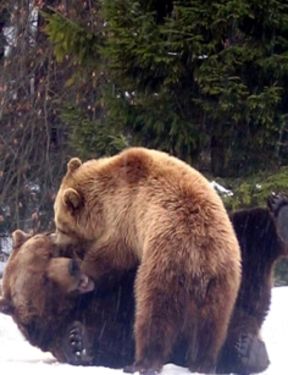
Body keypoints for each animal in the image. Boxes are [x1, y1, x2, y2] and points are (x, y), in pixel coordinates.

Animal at [0, 192, 286, 374]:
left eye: (50, 252)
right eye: (44, 279)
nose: (73, 266)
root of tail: (253, 309)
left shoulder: (119, 272)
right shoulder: (77, 325)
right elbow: (109, 342)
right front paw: (76, 342)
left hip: (231, 243)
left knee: (254, 229)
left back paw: (280, 211)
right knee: (229, 343)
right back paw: (247, 349)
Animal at [53, 147, 241, 375]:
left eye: (60, 226)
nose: (56, 242)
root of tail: (202, 255)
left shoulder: (125, 218)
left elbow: (110, 258)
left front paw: (85, 269)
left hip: (164, 264)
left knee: (153, 315)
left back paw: (141, 363)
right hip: (223, 279)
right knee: (213, 323)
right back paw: (203, 363)